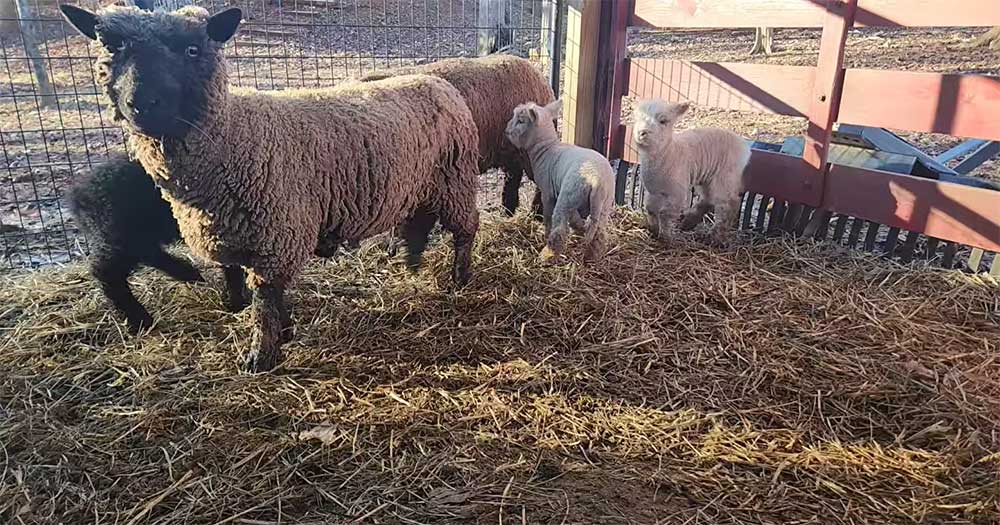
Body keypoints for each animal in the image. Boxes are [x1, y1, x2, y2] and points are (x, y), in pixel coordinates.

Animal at [67, 155, 250, 333]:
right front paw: (237, 304)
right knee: (107, 272)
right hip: (121, 236)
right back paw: (140, 321)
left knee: (149, 254)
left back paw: (188, 273)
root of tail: (78, 196)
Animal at [504, 99, 615, 263]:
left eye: (520, 121)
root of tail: (597, 181)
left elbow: (548, 217)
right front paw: (580, 227)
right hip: (603, 204)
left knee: (560, 228)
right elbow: (576, 218)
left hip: (569, 194)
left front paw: (547, 233)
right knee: (599, 232)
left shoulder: (547, 192)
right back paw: (592, 255)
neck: (547, 148)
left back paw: (547, 254)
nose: (506, 131)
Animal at [631, 99, 751, 246]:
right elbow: (650, 209)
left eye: (663, 121)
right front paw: (653, 231)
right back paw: (688, 222)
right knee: (708, 198)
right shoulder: (653, 192)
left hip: (726, 176)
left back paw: (715, 237)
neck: (669, 153)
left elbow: (665, 214)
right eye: (636, 119)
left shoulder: (677, 193)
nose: (642, 132)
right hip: (709, 178)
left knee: (728, 204)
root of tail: (744, 144)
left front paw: (666, 239)